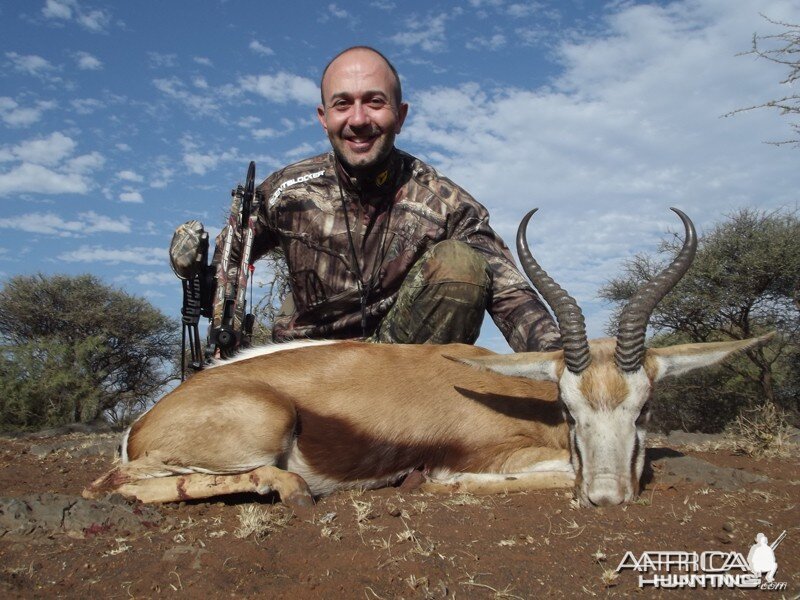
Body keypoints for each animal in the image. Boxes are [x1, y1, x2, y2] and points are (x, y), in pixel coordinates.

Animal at [86, 209, 768, 508]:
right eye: (569, 409)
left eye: (643, 409)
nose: (606, 499)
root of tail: (142, 422)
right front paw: (443, 481)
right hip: (261, 427)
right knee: (115, 484)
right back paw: (294, 490)